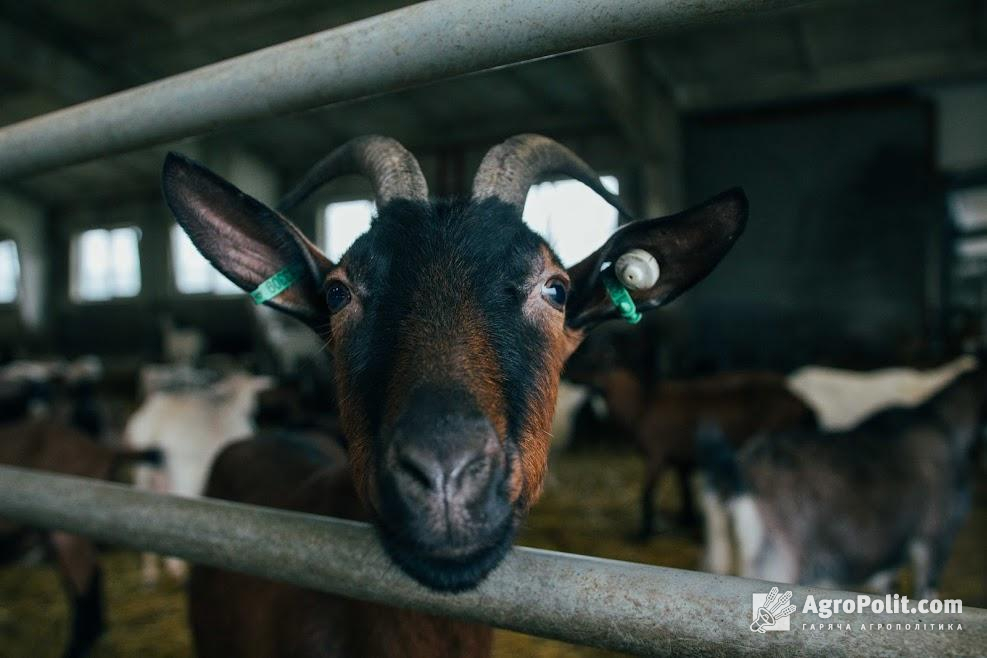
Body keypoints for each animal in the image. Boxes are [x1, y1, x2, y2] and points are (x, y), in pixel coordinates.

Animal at [127, 372, 276, 580]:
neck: (230, 404)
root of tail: (155, 426)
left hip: (143, 475)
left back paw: (150, 572)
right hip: (186, 473)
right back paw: (177, 568)